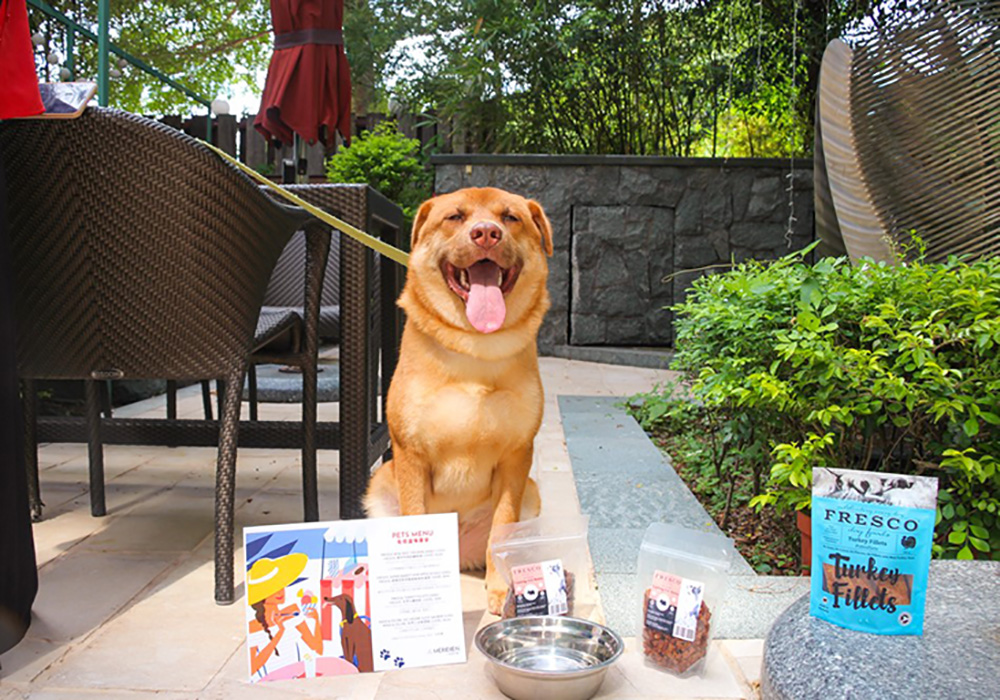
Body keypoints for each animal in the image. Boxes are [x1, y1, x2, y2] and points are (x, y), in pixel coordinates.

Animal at [362, 186, 552, 612]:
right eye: (455, 217)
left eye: (510, 217)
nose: (487, 233)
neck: (474, 348)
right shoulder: (410, 454)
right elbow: (414, 518)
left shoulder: (518, 457)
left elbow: (502, 527)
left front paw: (501, 589)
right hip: (381, 482)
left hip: (532, 491)